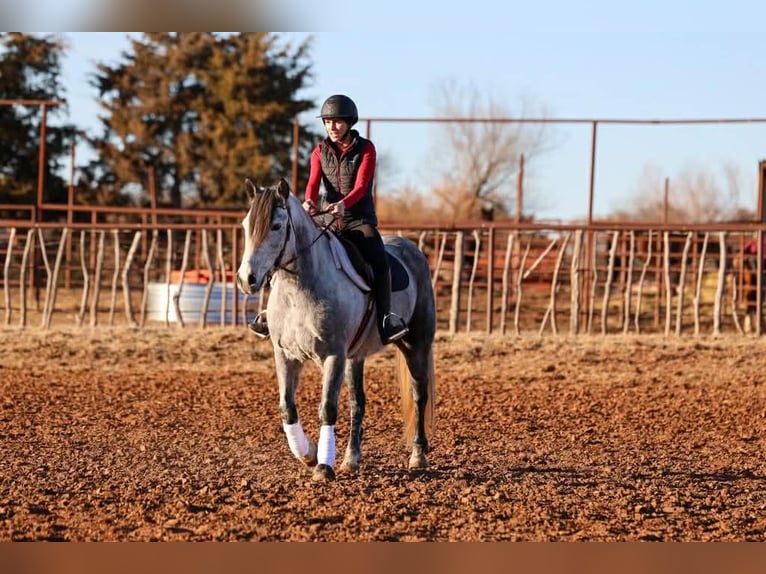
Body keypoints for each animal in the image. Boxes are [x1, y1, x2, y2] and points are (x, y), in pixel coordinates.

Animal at [235, 177, 436, 481]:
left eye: (277, 226)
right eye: (247, 225)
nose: (247, 280)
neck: (298, 290)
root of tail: (412, 248)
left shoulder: (333, 355)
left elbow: (327, 409)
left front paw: (322, 465)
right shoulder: (285, 355)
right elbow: (287, 408)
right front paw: (307, 453)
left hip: (416, 344)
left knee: (419, 394)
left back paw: (418, 455)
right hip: (356, 357)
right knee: (357, 403)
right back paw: (351, 459)